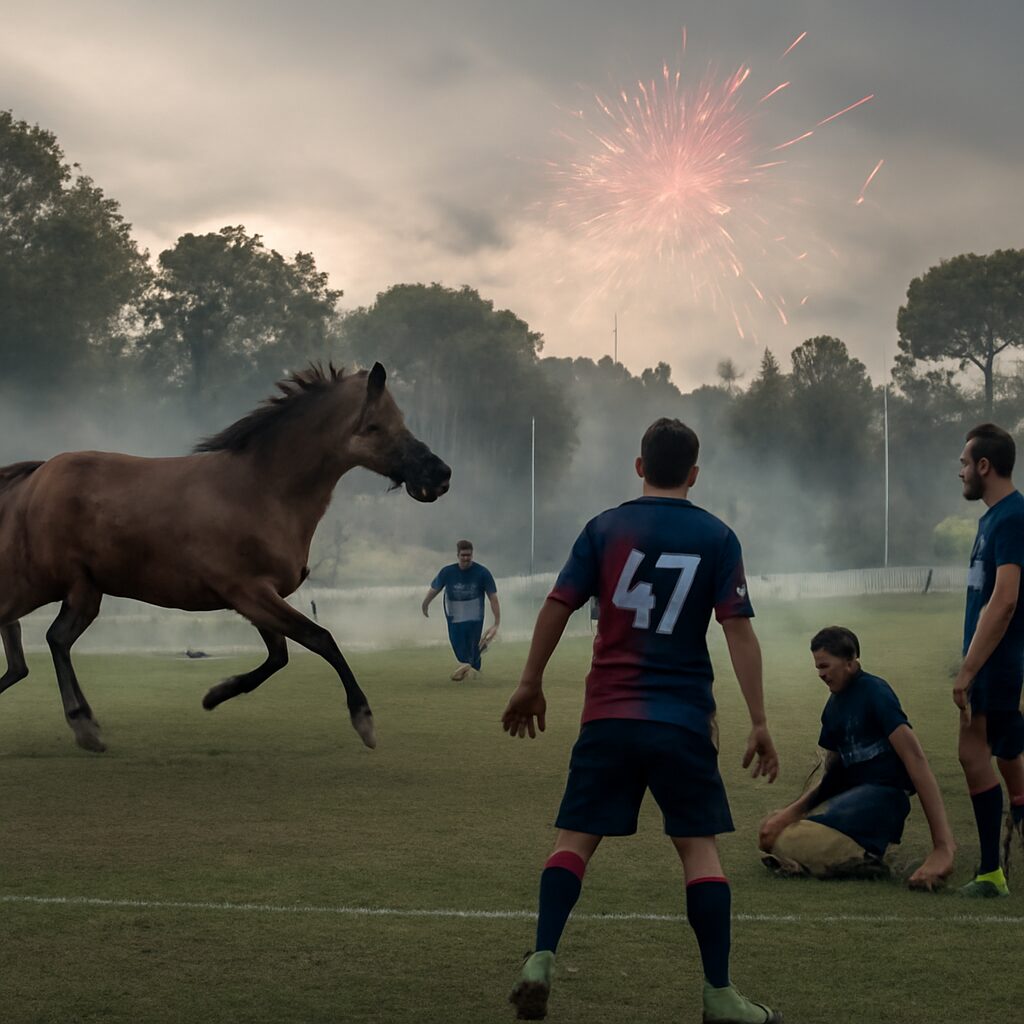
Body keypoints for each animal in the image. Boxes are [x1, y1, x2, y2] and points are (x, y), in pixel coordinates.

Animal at [0, 362, 450, 753]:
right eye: (375, 426)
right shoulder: (250, 592)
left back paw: (85, 725)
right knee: (43, 637)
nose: (439, 475)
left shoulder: (257, 598)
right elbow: (320, 638)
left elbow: (279, 656)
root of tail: (35, 477)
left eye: (402, 420)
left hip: (84, 591)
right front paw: (364, 721)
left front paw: (215, 694)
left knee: (52, 640)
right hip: (46, 583)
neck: (263, 490)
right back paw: (81, 723)